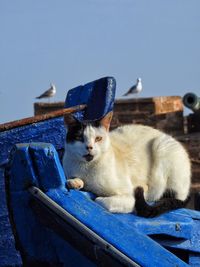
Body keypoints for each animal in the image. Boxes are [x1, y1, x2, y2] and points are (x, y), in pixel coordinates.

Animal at [62, 111, 191, 218]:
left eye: (98, 138)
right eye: (79, 137)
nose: (89, 147)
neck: (87, 168)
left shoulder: (129, 196)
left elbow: (100, 200)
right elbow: (74, 179)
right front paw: (75, 182)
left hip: (161, 147)